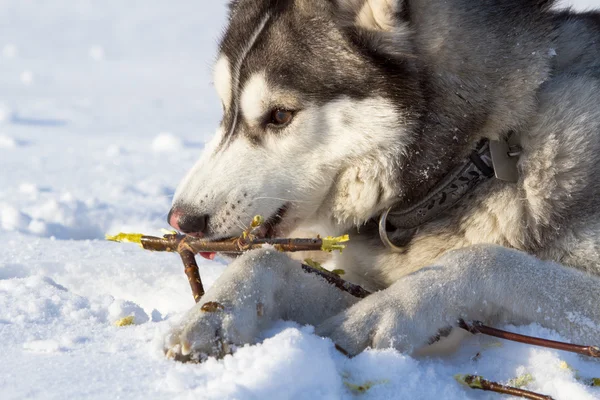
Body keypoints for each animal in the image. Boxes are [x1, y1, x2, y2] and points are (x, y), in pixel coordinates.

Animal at [165, 0, 600, 358]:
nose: (182, 219)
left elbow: (485, 258)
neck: (481, 158)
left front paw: (381, 313)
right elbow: (267, 259)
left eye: (280, 115)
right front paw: (214, 312)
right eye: (225, 109)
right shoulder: (360, 277)